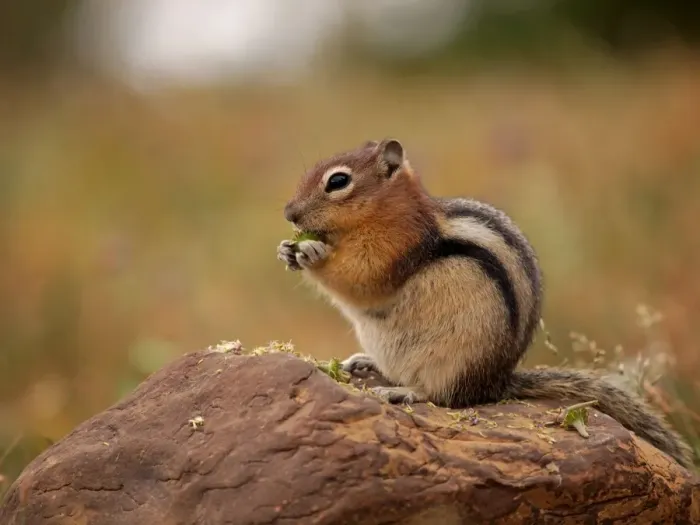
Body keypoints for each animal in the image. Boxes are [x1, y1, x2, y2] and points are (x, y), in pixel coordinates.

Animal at [276, 138, 694, 470]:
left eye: (338, 181)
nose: (289, 213)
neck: (385, 214)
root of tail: (495, 383)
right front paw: (286, 249)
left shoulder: (393, 250)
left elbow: (360, 281)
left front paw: (311, 252)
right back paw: (367, 363)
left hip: (454, 362)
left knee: (445, 398)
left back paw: (404, 392)